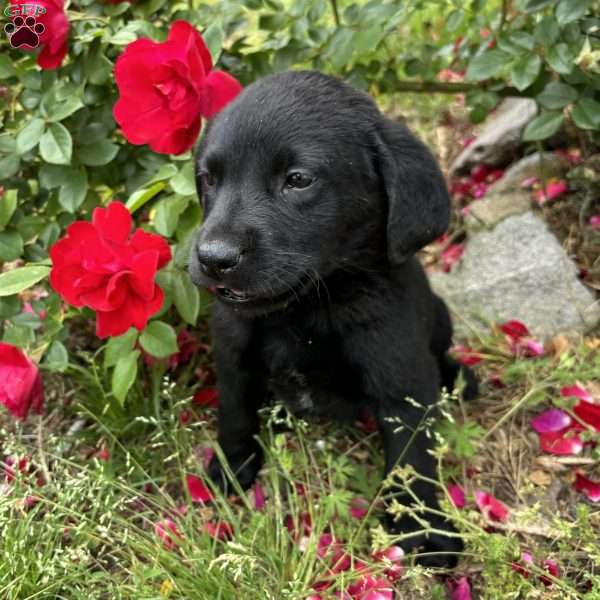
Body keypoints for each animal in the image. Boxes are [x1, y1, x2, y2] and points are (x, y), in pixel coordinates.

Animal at [190, 70, 476, 568]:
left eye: (298, 180)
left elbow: (413, 459)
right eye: (208, 179)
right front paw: (232, 468)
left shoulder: (403, 381)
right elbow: (236, 413)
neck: (308, 311)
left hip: (440, 317)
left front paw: (424, 527)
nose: (213, 258)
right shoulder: (233, 355)